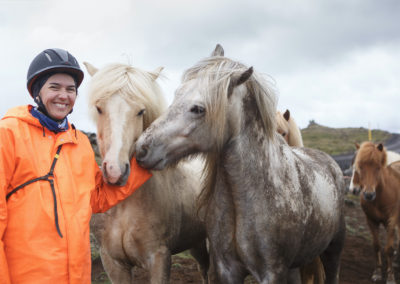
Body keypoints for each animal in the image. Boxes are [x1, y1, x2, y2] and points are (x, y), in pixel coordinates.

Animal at [135, 44, 346, 284]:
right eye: (177, 95)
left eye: (198, 109)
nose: (141, 148)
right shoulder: (228, 269)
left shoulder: (271, 273)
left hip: (333, 249)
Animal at [352, 142, 400, 284]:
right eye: (360, 167)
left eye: (378, 167)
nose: (368, 195)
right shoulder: (371, 221)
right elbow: (376, 246)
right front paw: (377, 273)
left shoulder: (391, 220)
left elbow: (389, 249)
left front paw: (390, 277)